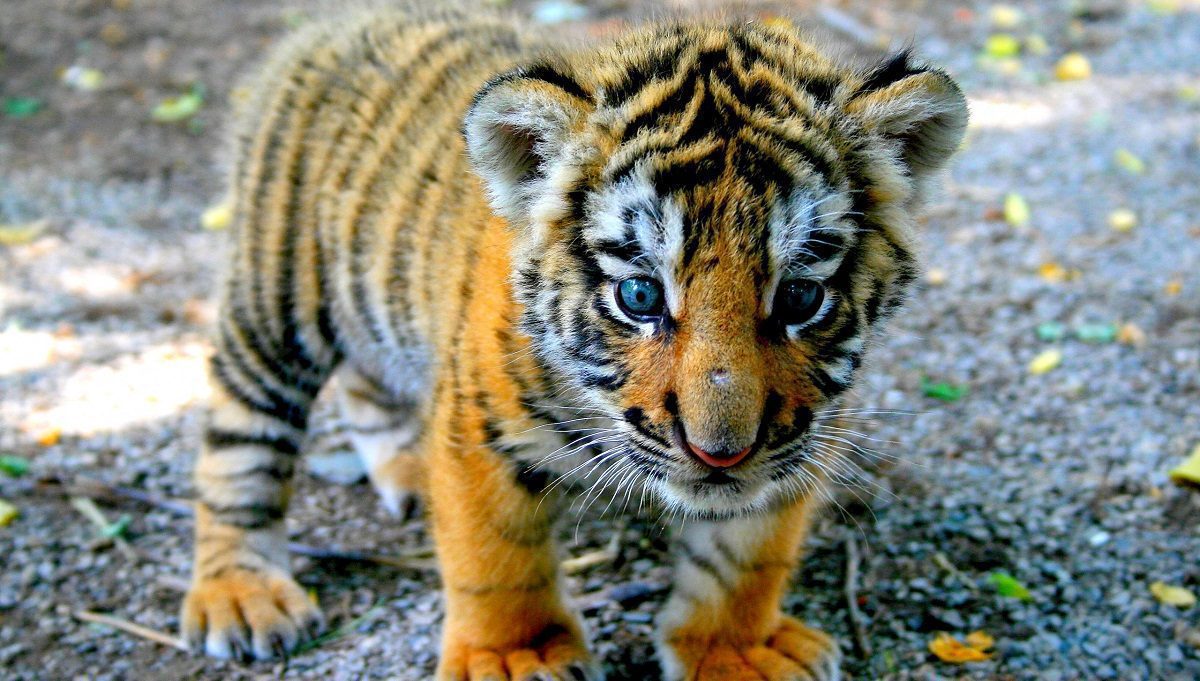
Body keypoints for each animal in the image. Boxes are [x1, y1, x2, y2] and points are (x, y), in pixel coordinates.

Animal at [181, 3, 967, 679]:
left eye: (801, 298)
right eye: (640, 296)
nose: (720, 452)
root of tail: (343, 21)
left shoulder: (801, 434)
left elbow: (746, 554)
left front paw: (735, 649)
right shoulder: (480, 426)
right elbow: (495, 555)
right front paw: (514, 656)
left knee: (366, 384)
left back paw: (405, 470)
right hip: (275, 305)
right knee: (239, 444)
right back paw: (241, 593)